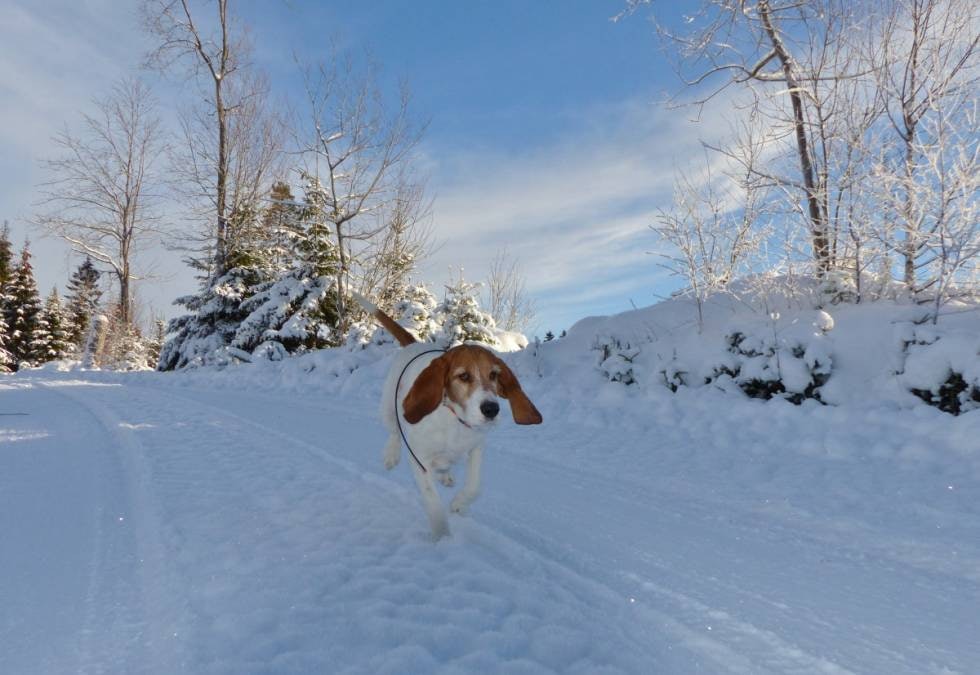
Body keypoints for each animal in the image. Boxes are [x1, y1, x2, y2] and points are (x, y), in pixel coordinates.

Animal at [354, 294, 544, 540]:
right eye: (463, 376)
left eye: (494, 375)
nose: (491, 409)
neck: (454, 419)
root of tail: (415, 344)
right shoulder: (419, 461)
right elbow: (433, 502)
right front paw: (443, 538)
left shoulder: (476, 447)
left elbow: (474, 486)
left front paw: (459, 504)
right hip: (387, 409)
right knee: (394, 431)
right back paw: (391, 456)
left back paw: (445, 475)